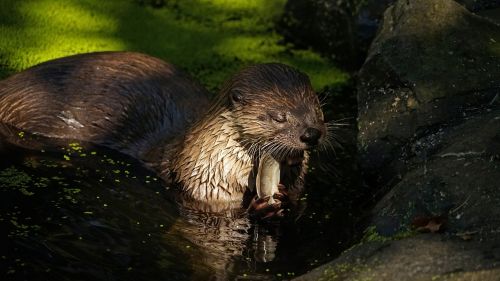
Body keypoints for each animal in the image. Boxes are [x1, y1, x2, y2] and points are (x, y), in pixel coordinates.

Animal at [0, 51, 328, 214]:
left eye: (316, 106)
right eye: (279, 116)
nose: (310, 134)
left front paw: (283, 197)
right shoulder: (206, 184)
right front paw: (262, 206)